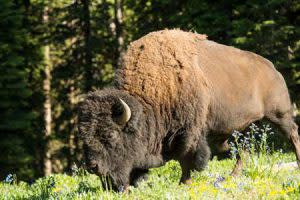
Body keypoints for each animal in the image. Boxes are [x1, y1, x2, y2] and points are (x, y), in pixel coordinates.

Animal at [78, 28, 300, 191]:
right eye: (85, 137)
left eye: (110, 136)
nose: (93, 166)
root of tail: (273, 69)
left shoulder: (188, 133)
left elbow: (187, 158)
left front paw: (184, 183)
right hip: (242, 127)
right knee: (241, 151)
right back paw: (230, 176)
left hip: (280, 115)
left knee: (293, 135)